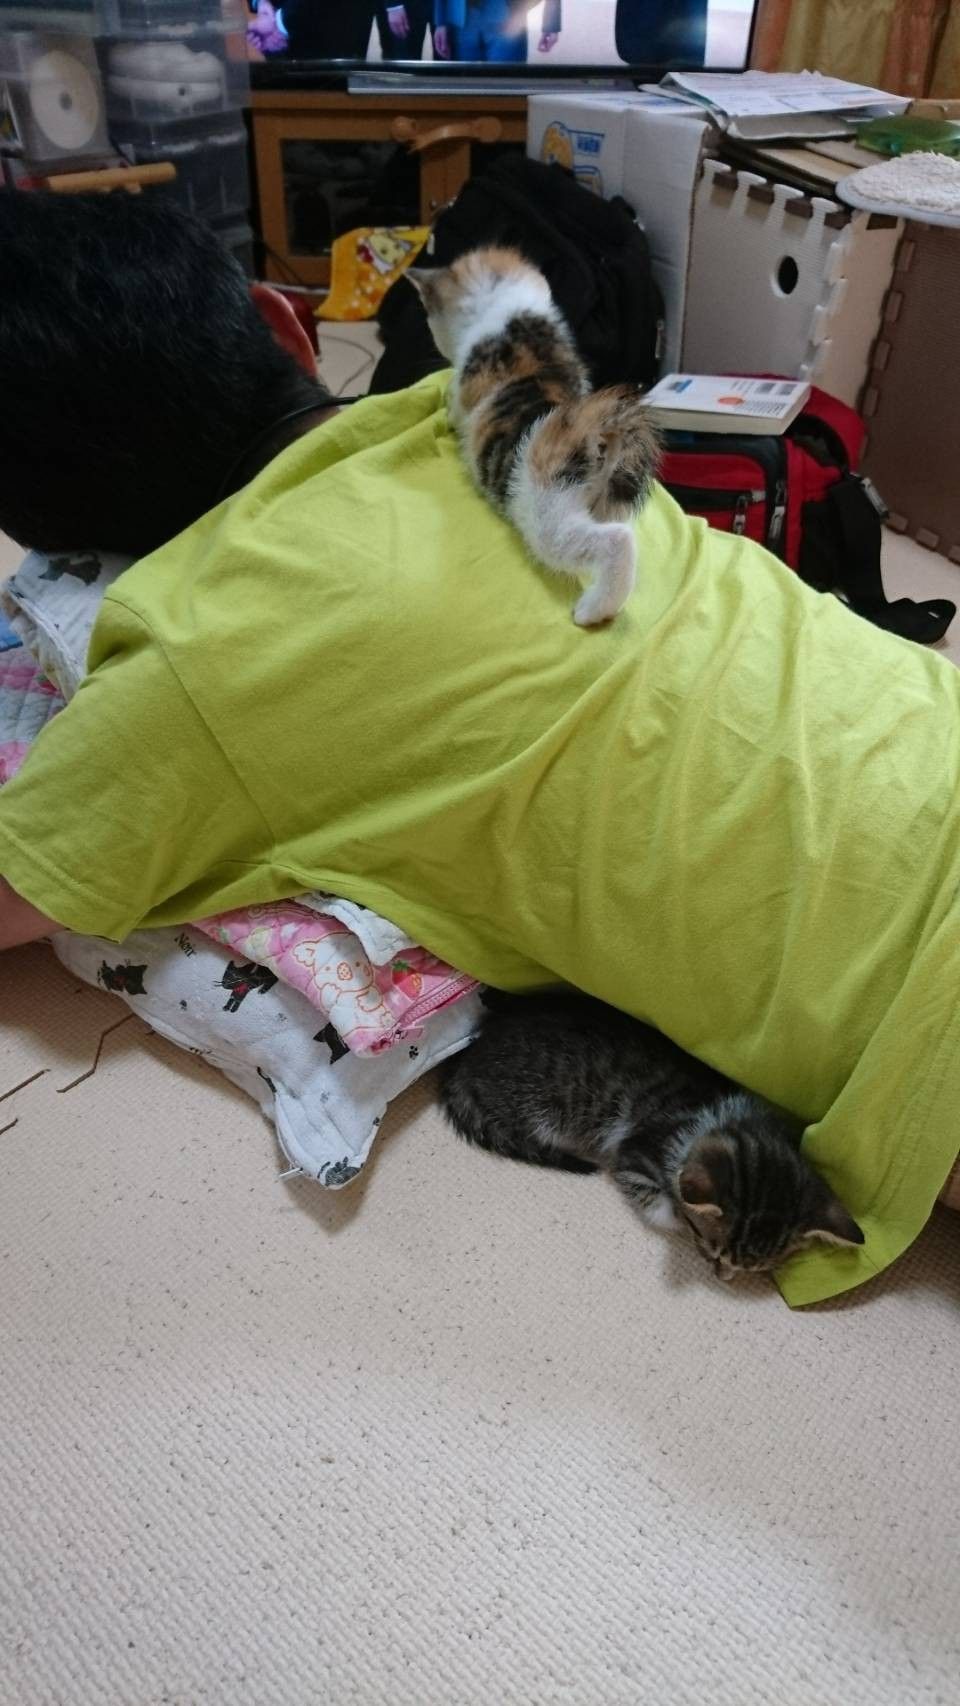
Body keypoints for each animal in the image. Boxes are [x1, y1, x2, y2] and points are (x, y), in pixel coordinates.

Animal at [407, 246, 660, 628]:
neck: (514, 315)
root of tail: (586, 425)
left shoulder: (466, 385)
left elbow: (455, 402)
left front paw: (446, 409)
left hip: (547, 516)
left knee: (616, 542)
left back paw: (593, 609)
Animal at [439, 992, 864, 1280]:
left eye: (755, 1269)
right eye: (714, 1251)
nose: (723, 1277)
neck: (717, 1117)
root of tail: (466, 1062)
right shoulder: (633, 1152)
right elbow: (655, 1200)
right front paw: (677, 1215)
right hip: (539, 1110)